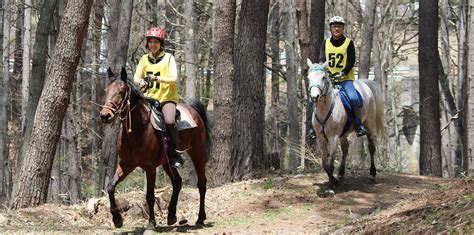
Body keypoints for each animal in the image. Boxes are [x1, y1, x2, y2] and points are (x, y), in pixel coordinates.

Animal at [99, 67, 208, 228]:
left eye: (121, 91)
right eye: (106, 91)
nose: (105, 115)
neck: (138, 130)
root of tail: (193, 110)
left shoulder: (150, 168)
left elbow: (150, 195)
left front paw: (151, 222)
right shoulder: (126, 165)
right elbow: (111, 187)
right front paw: (117, 219)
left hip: (197, 153)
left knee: (201, 183)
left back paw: (200, 218)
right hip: (168, 162)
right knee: (177, 182)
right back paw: (171, 215)